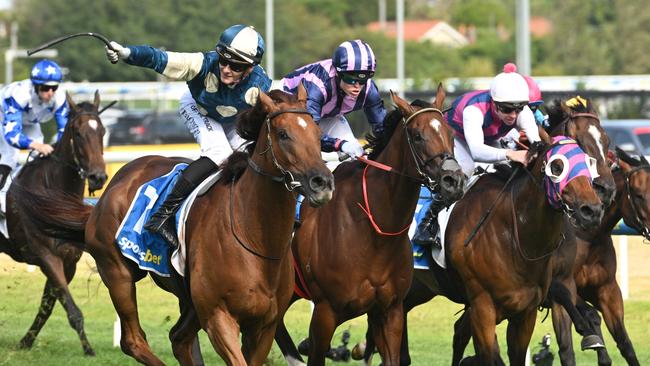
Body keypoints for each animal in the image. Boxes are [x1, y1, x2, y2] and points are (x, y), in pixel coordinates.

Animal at [0, 90, 106, 356]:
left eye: (102, 131)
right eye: (77, 133)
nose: (98, 177)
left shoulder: (68, 261)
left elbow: (48, 305)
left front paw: (25, 342)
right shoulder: (45, 255)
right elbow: (72, 309)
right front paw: (88, 349)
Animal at [15, 87, 334, 364]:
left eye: (318, 134)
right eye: (283, 134)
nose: (322, 182)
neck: (254, 238)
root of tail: (110, 190)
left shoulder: (264, 326)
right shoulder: (218, 317)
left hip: (187, 298)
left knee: (179, 339)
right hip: (117, 272)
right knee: (134, 340)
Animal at [274, 86, 466, 366]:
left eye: (451, 134)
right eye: (418, 136)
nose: (454, 181)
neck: (373, 233)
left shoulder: (390, 311)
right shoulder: (325, 313)